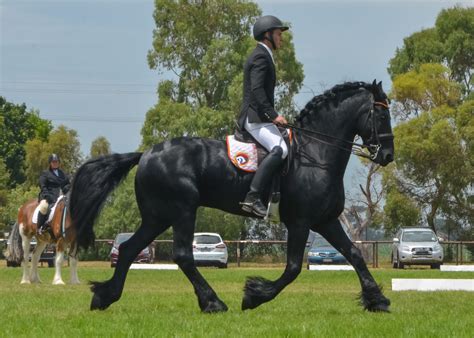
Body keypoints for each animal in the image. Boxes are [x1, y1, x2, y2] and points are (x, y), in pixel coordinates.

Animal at [70, 80, 394, 312]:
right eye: (380, 114)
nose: (388, 155)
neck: (316, 153)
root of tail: (146, 154)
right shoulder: (300, 222)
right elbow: (292, 269)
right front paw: (254, 295)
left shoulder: (325, 220)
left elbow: (354, 254)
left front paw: (377, 300)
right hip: (181, 210)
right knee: (182, 255)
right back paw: (212, 302)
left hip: (157, 217)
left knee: (128, 250)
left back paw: (104, 296)